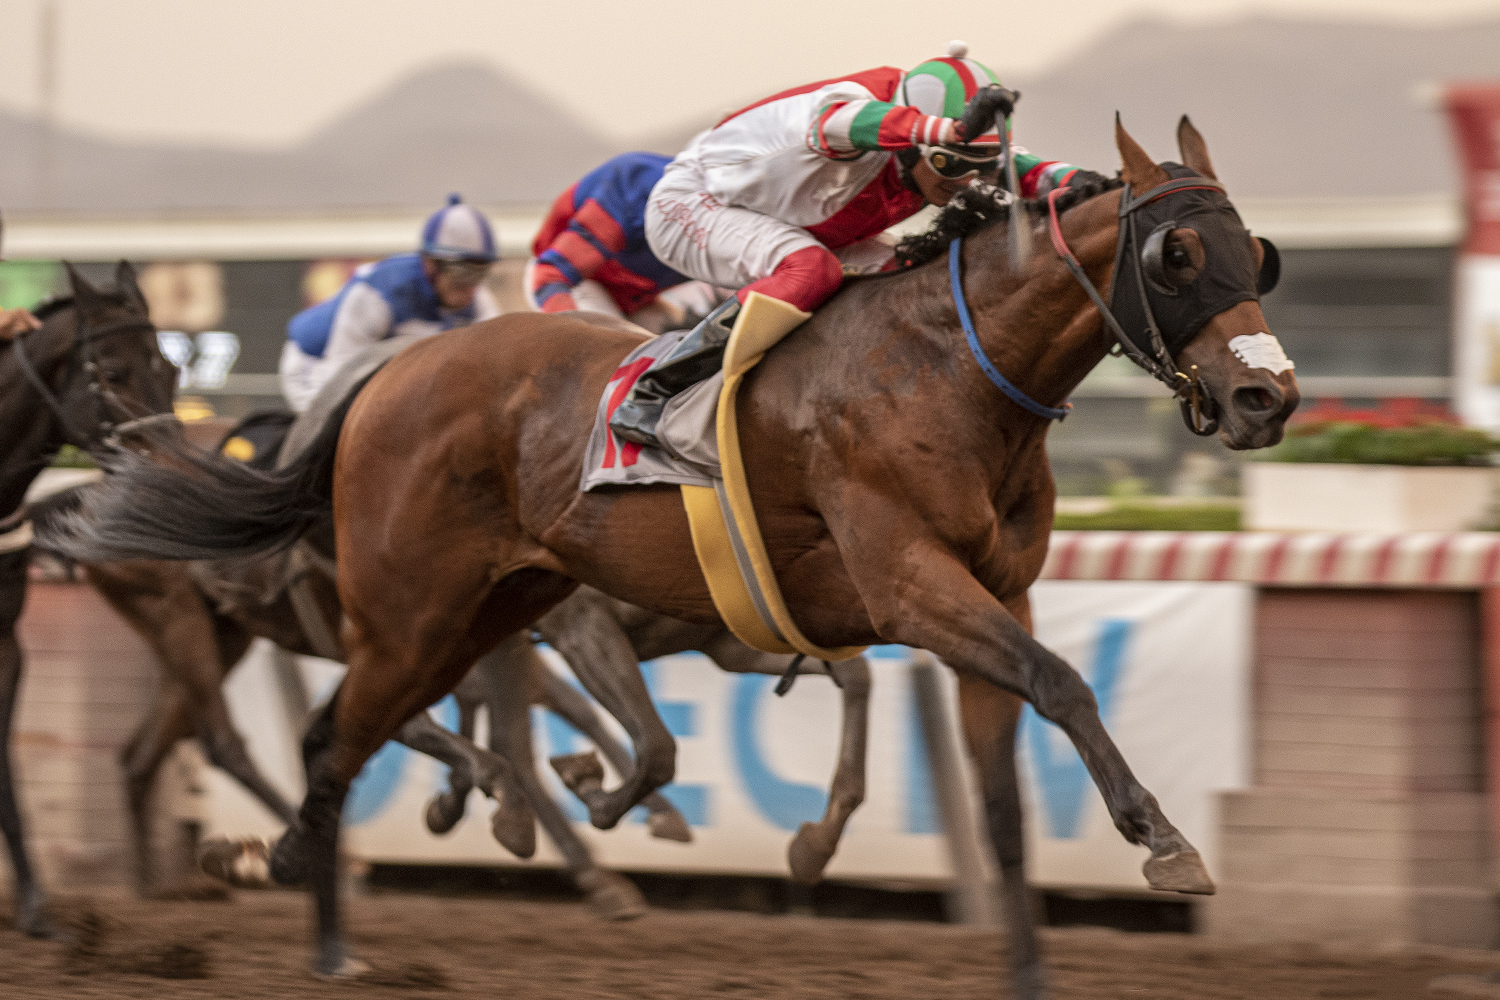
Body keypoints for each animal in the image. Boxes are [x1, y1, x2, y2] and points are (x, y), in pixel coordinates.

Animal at [41, 119, 1298, 997]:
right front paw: (1164, 840)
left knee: (345, 734)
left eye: (1261, 255)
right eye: (1179, 251)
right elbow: (1067, 684)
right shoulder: (909, 582)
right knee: (328, 737)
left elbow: (999, 794)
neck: (951, 367)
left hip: (492, 606)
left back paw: (349, 903)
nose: (1266, 398)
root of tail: (390, 376)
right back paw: (305, 875)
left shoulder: (989, 595)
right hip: (406, 610)